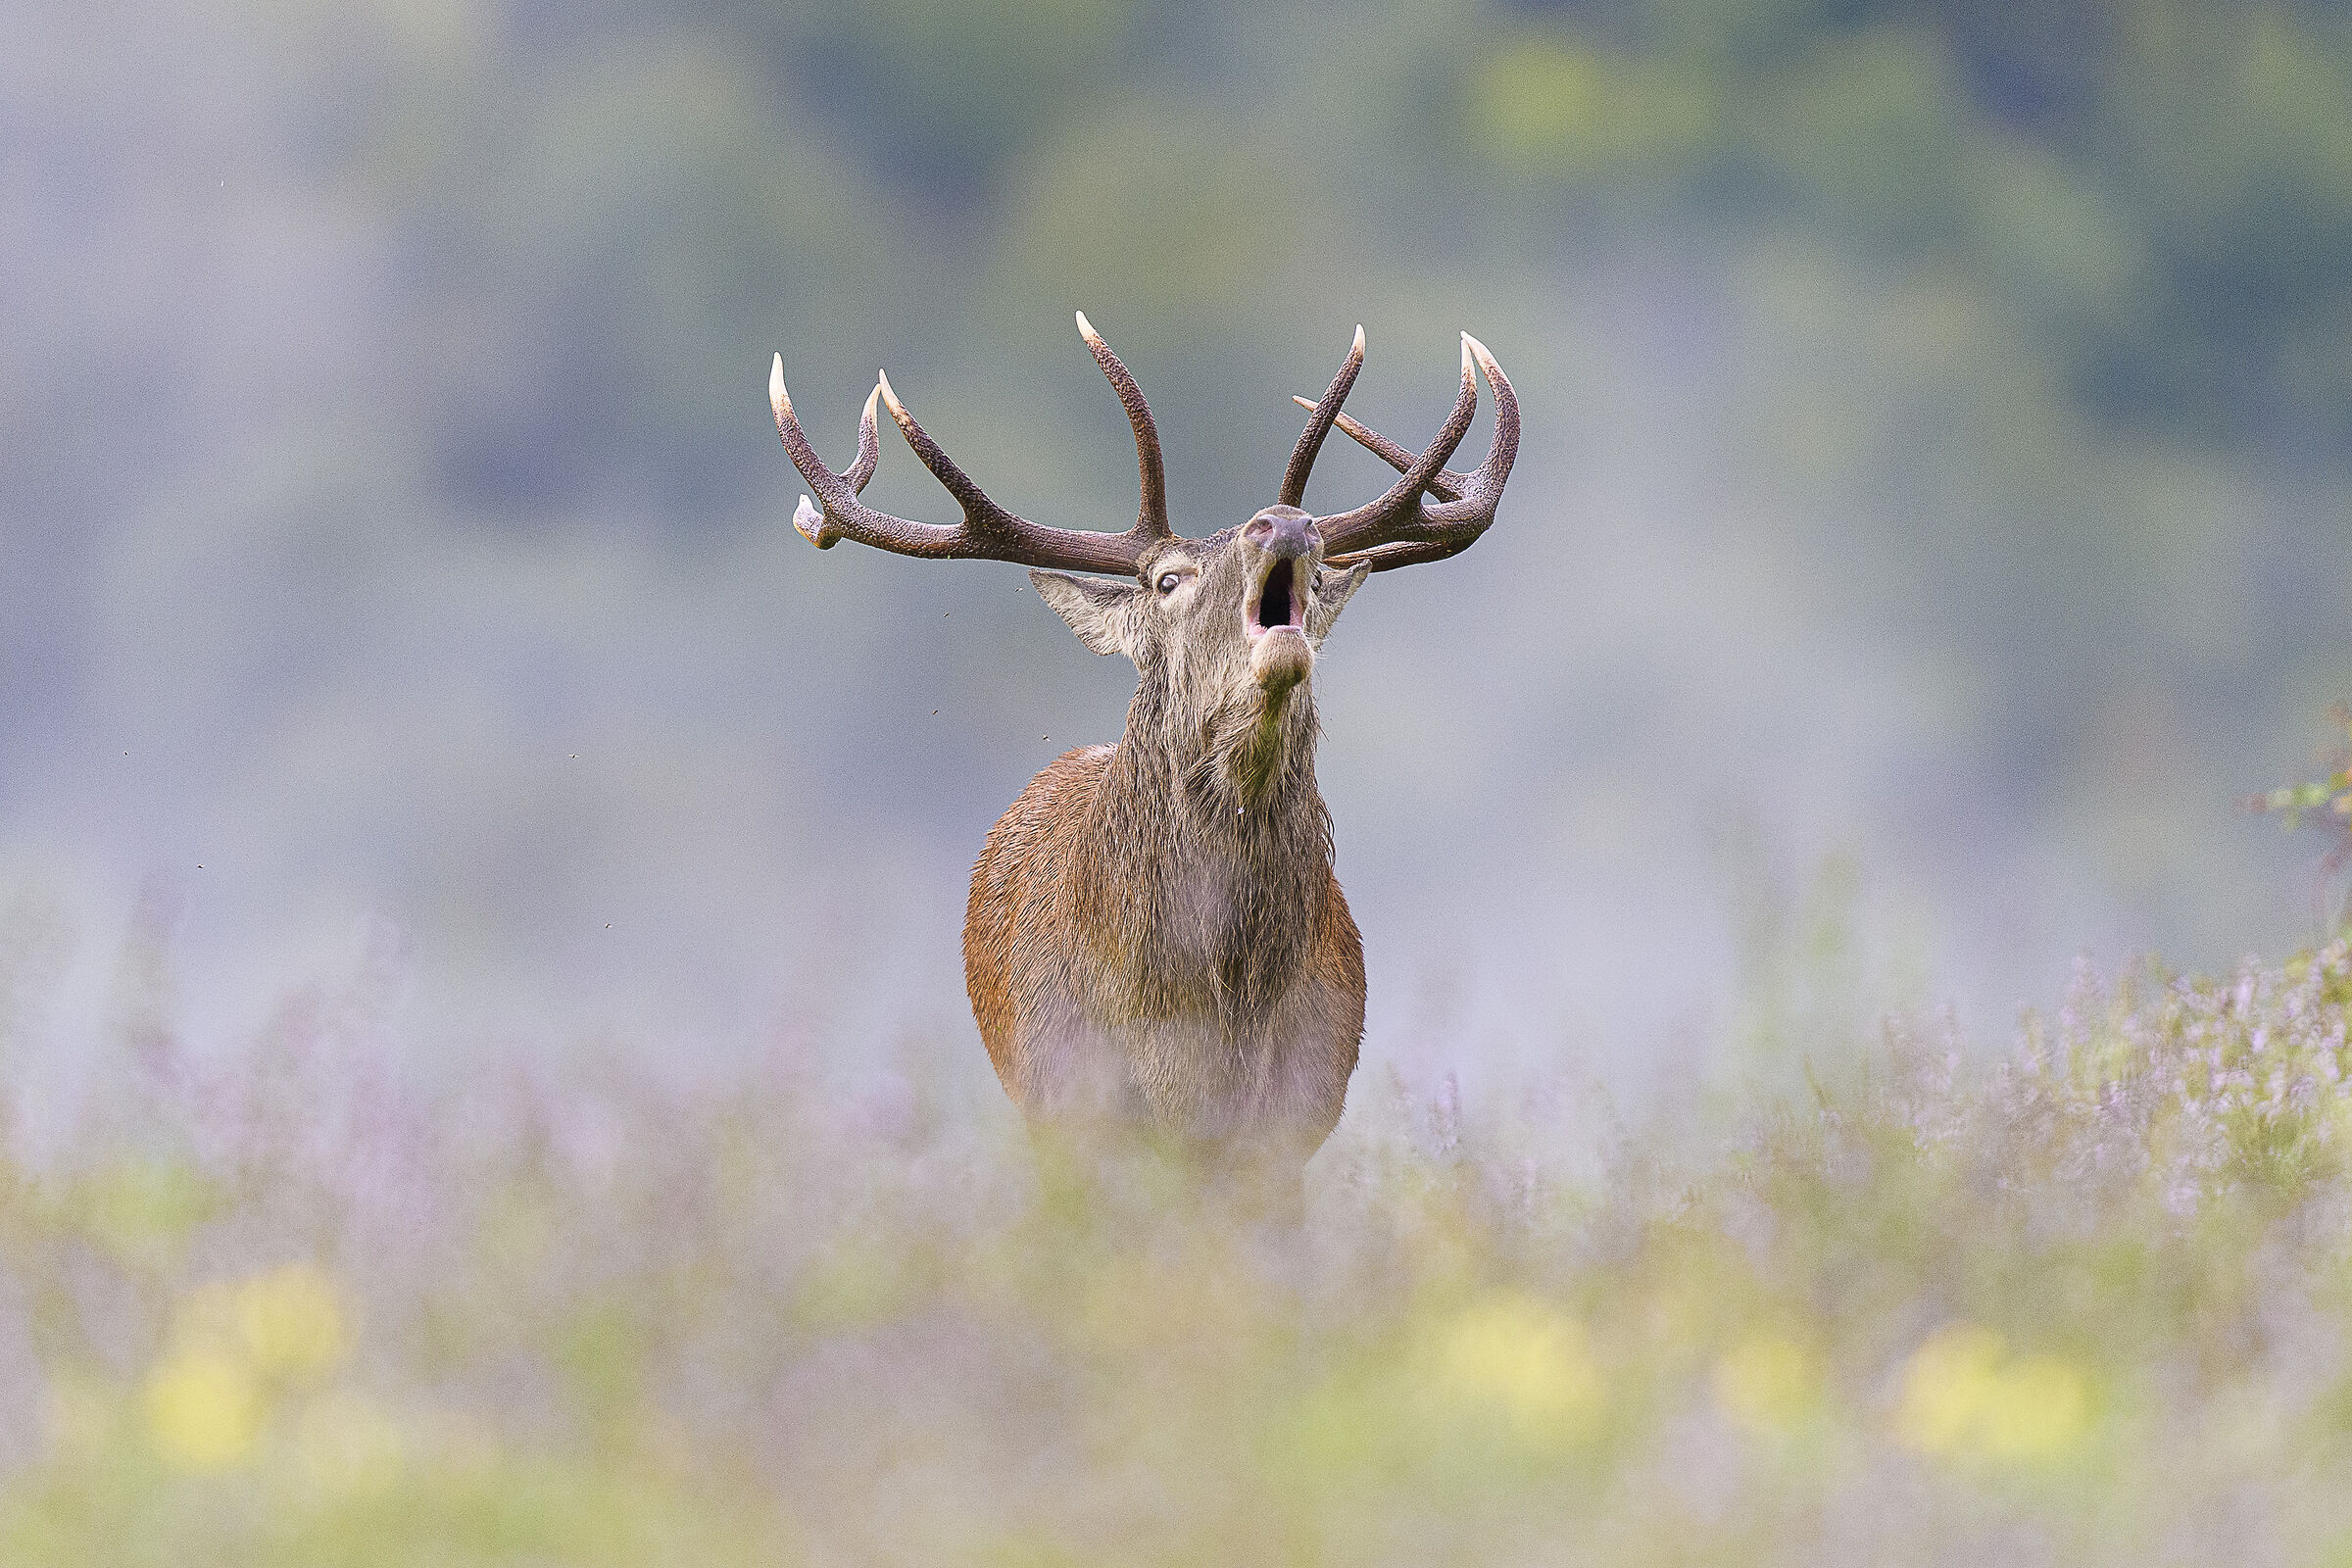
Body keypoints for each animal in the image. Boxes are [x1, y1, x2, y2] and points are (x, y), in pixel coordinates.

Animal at [769, 315, 1517, 1206]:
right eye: (1167, 581)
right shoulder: (1073, 1108)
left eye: (1320, 572)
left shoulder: (1293, 1120)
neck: (1201, 1027)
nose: (1287, 523)